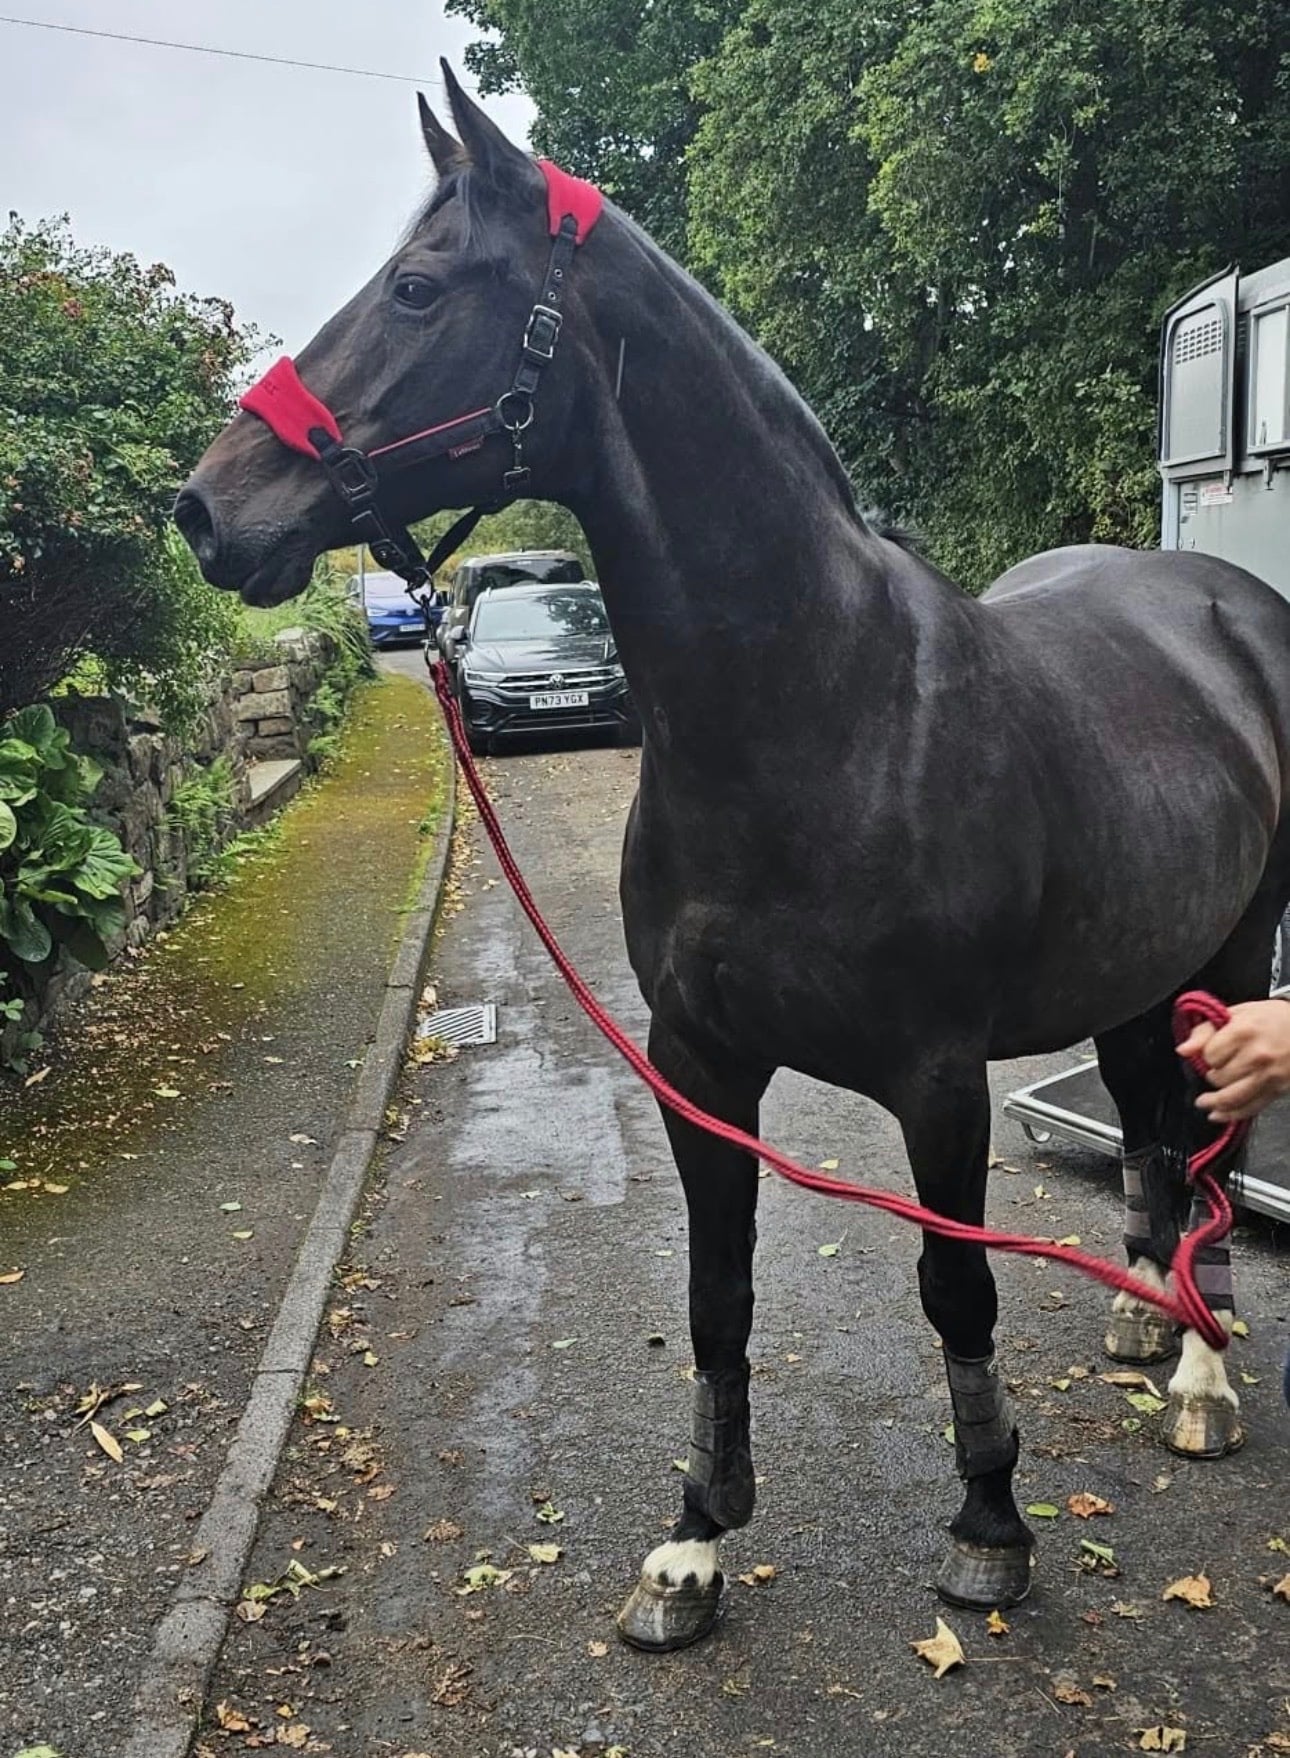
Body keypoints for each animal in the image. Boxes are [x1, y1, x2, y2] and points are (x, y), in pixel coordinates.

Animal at [175, 70, 1290, 1652]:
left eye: (416, 287)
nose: (209, 509)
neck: (824, 710)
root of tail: (1221, 600)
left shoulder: (938, 1081)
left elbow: (956, 1289)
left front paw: (990, 1529)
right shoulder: (696, 1062)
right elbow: (715, 1296)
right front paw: (693, 1544)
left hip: (1236, 954)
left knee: (1205, 1139)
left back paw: (1201, 1372)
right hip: (1143, 962)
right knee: (1143, 1114)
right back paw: (1150, 1314)